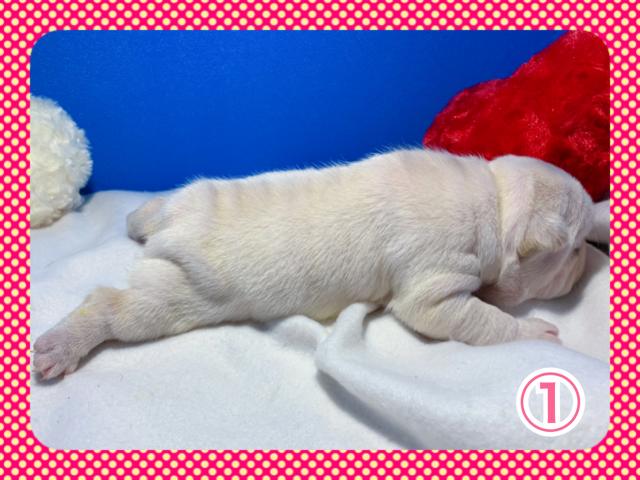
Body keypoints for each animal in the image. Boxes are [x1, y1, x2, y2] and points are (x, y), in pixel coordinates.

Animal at [33, 148, 602, 379]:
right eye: (575, 249)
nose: (588, 265)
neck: (499, 200)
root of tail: (172, 226)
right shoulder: (436, 276)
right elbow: (459, 315)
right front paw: (533, 331)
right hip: (176, 292)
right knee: (114, 307)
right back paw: (65, 343)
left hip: (190, 199)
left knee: (158, 207)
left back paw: (138, 216)